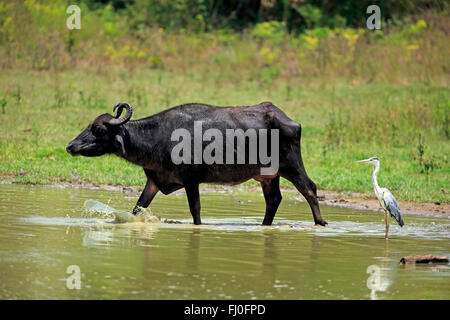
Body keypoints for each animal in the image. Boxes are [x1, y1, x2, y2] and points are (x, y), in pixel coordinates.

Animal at [67, 101, 326, 226]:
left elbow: (196, 209)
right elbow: (138, 207)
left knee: (309, 189)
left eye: (99, 129)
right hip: (268, 177)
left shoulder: (191, 180)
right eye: (89, 125)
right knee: (273, 200)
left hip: (291, 166)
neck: (160, 137)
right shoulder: (155, 181)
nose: (70, 146)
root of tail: (288, 120)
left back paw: (320, 223)